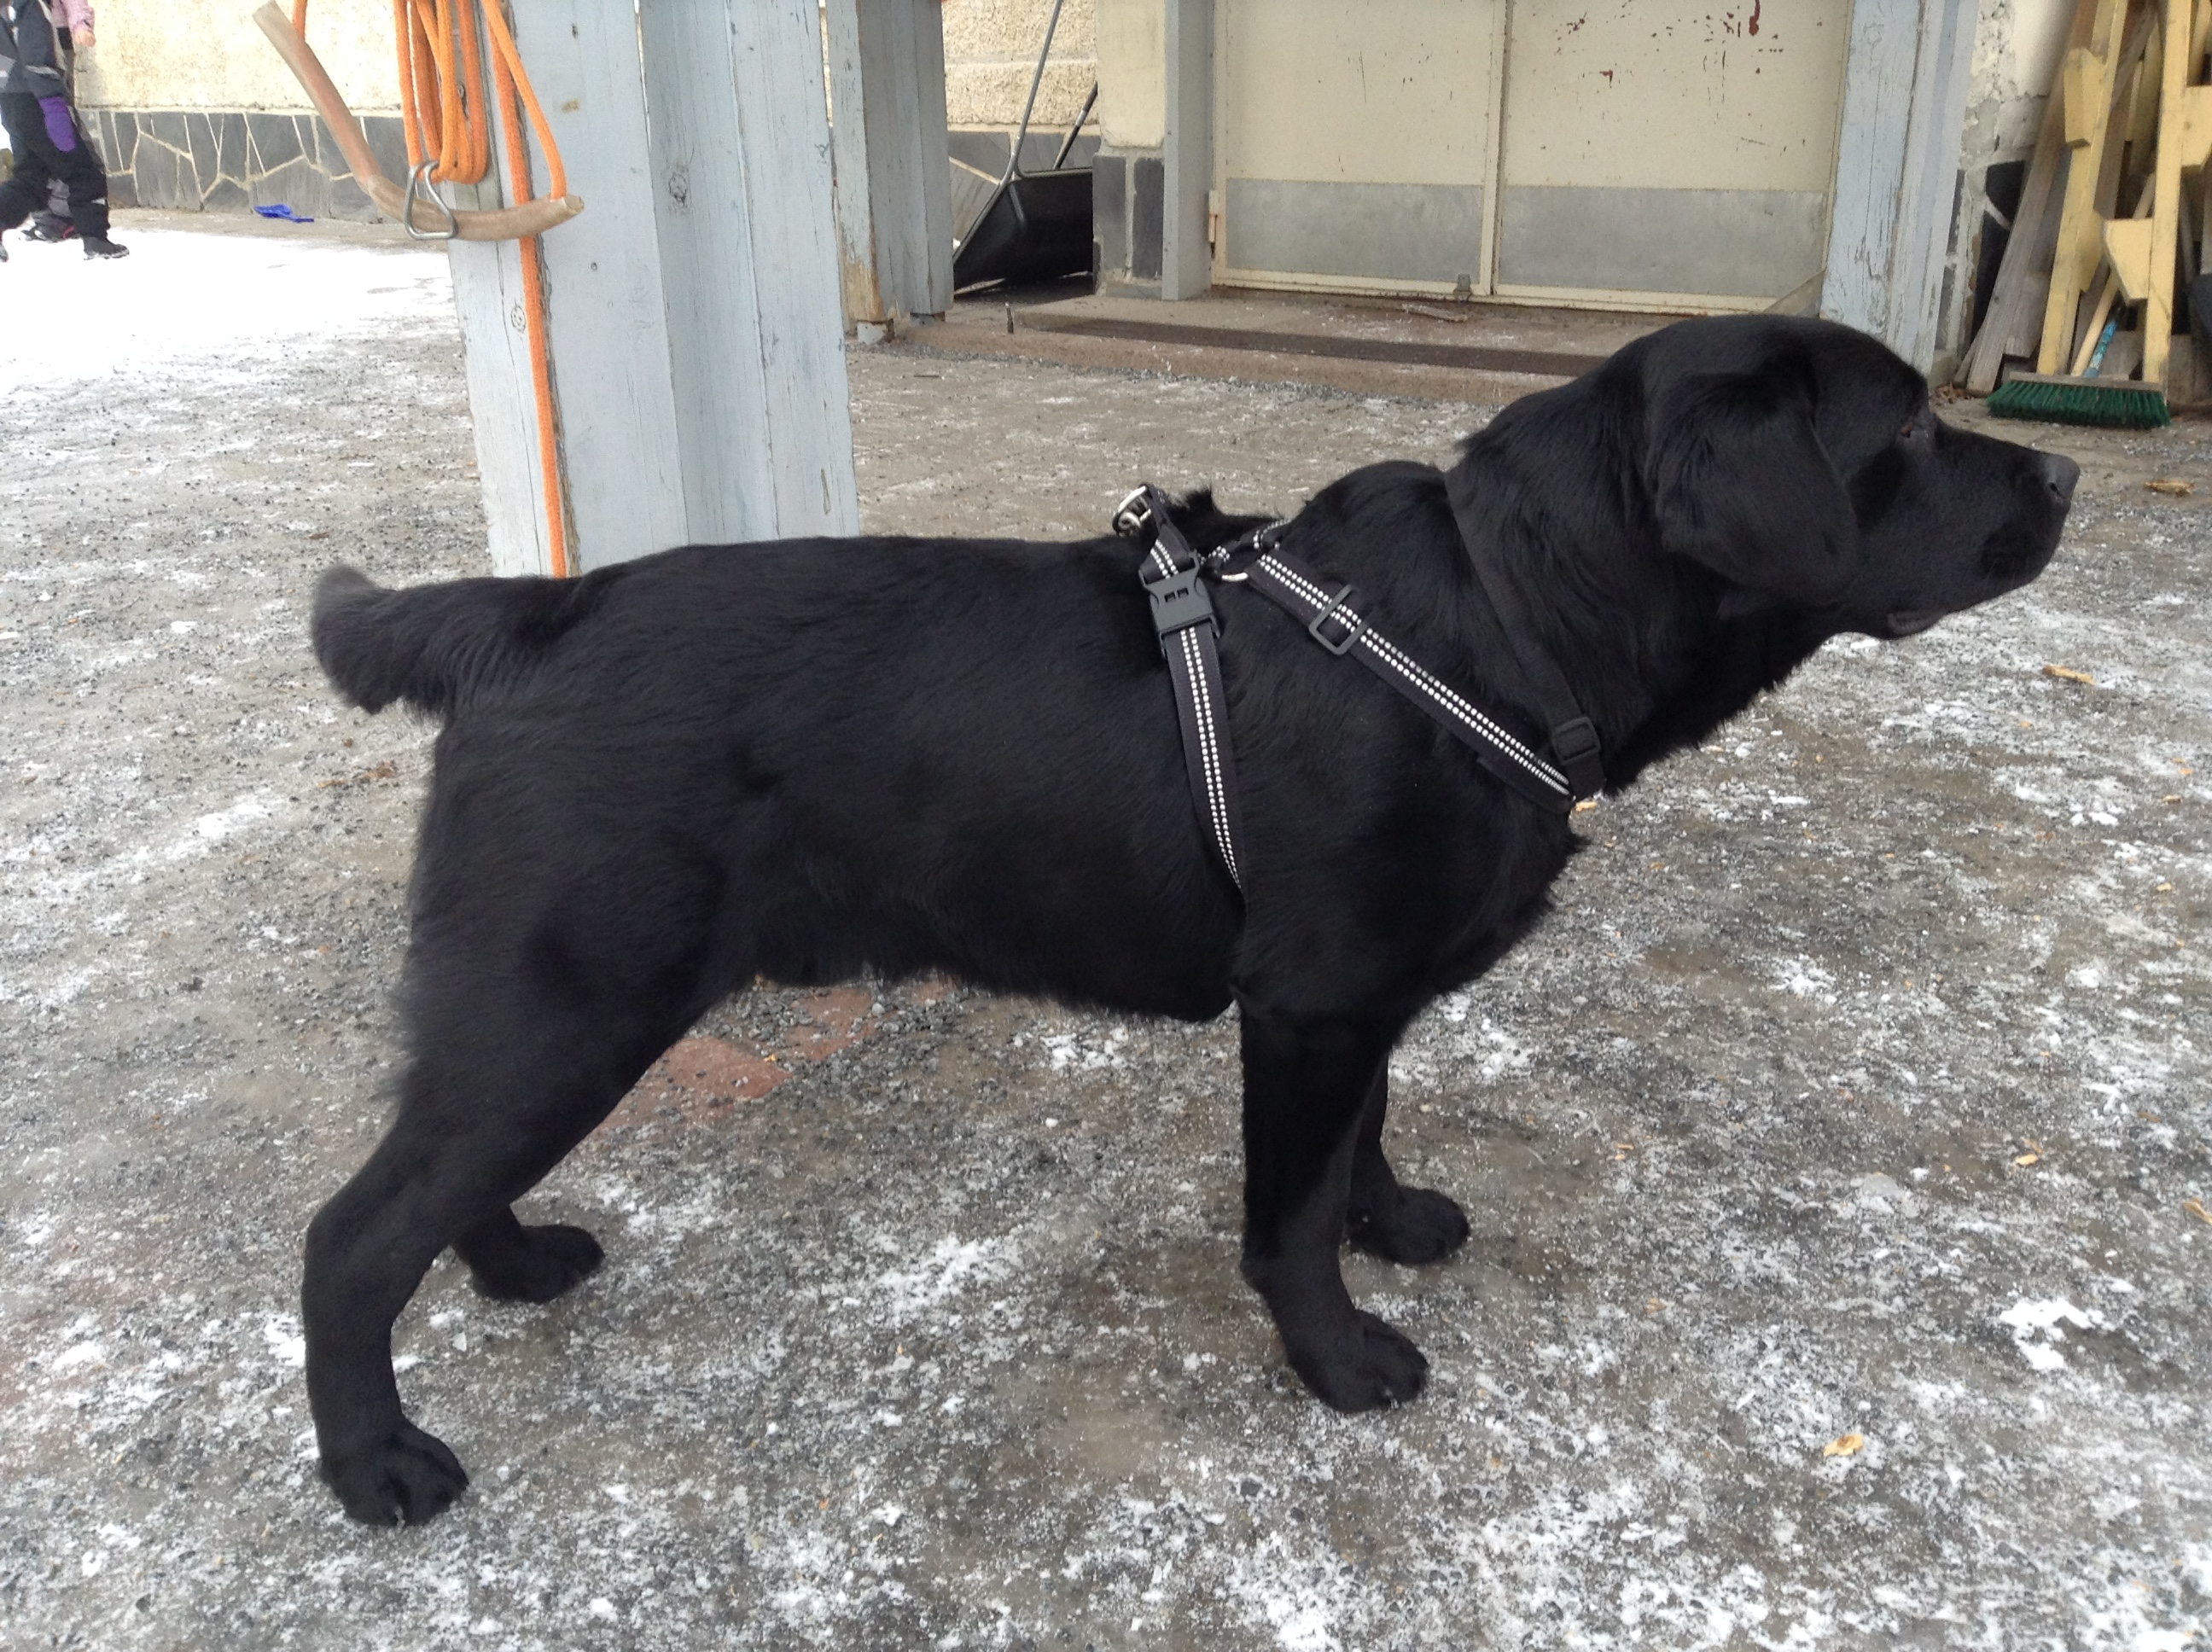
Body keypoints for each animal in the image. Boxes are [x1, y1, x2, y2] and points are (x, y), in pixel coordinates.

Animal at [301, 315, 2075, 1524]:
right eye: (1910, 430)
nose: (2061, 468)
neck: (1502, 617)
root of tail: (517, 618)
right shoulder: (1309, 1002)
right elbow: (1285, 1214)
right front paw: (1340, 1359)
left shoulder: (1357, 998)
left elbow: (1363, 1138)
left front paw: (1392, 1220)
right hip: (569, 998)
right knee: (349, 1236)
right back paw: (377, 1462)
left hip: (542, 1015)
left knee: (436, 1183)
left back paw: (513, 1263)